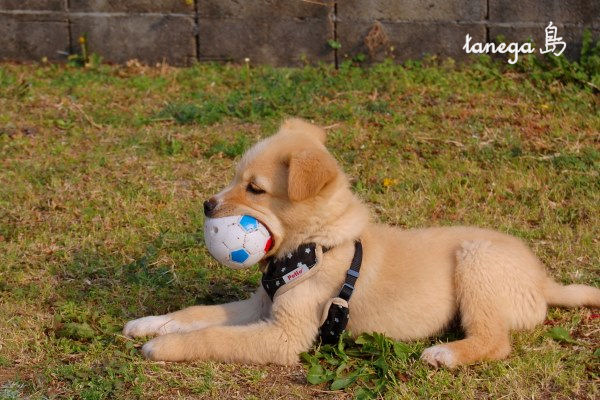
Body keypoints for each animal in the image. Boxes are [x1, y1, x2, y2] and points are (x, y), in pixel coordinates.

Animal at [124, 118, 600, 368]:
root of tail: (543, 282)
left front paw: (163, 347)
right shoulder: (260, 307)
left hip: (476, 261)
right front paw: (151, 323)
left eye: (255, 189)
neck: (318, 245)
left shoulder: (284, 336)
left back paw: (444, 353)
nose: (206, 205)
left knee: (496, 340)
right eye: (236, 177)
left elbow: (214, 337)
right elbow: (197, 314)